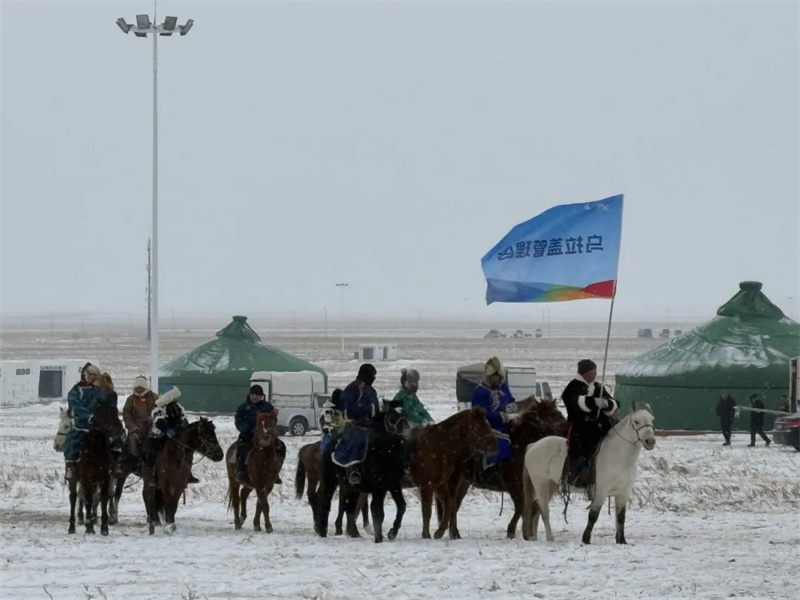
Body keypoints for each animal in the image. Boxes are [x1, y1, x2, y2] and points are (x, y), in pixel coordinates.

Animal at [316, 407, 410, 543]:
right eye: (391, 417)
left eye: (405, 415)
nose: (407, 431)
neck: (384, 452)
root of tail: (329, 445)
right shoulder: (378, 488)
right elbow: (377, 511)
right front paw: (379, 538)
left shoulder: (393, 485)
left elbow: (401, 506)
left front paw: (392, 533)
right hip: (331, 480)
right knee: (326, 502)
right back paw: (323, 532)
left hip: (352, 487)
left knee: (349, 508)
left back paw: (354, 533)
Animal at [406, 406, 498, 540]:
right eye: (478, 427)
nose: (495, 446)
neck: (437, 447)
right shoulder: (427, 485)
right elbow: (427, 510)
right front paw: (426, 535)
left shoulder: (439, 484)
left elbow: (449, 504)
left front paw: (439, 531)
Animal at [445, 399, 568, 539]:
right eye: (553, 415)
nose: (568, 428)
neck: (519, 448)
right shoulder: (513, 486)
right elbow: (521, 507)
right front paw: (514, 531)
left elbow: (524, 507)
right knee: (452, 504)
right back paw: (454, 533)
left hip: (464, 482)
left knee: (455, 504)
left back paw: (455, 533)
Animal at [522, 405, 656, 545]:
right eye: (636, 421)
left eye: (652, 420)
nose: (650, 441)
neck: (618, 458)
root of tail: (533, 446)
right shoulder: (601, 492)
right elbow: (593, 516)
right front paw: (585, 539)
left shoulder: (623, 493)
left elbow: (620, 517)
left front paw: (621, 541)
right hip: (540, 484)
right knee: (544, 511)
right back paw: (550, 538)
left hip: (552, 484)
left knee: (536, 508)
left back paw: (533, 537)